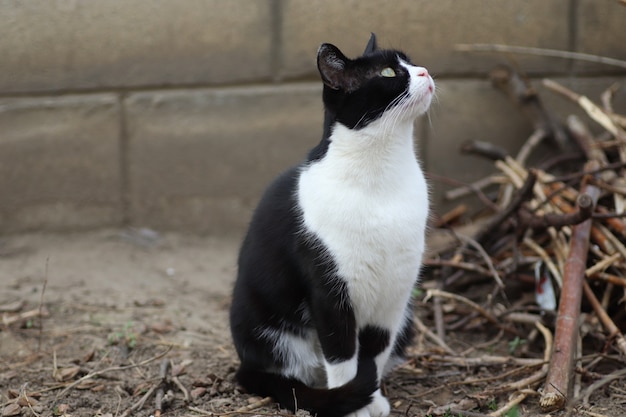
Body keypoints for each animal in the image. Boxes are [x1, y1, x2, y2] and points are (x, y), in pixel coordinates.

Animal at [229, 34, 434, 416]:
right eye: (388, 72)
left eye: (411, 62)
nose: (425, 71)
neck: (381, 174)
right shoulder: (329, 290)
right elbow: (342, 355)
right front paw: (352, 403)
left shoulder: (395, 292)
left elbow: (375, 351)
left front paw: (373, 400)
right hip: (260, 323)